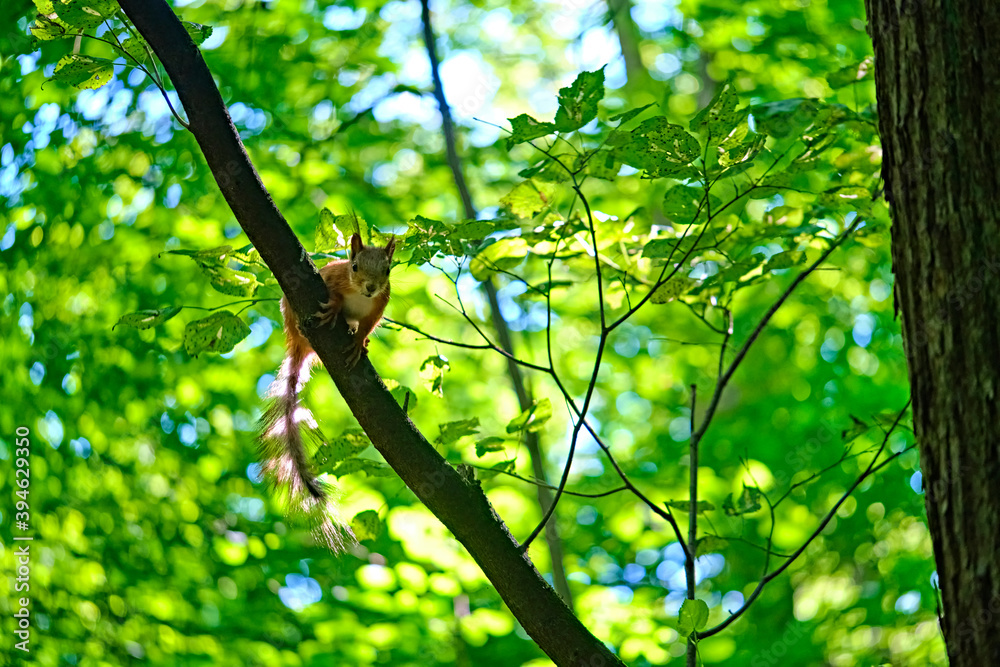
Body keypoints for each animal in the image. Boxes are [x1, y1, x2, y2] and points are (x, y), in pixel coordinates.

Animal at [258, 232, 395, 550]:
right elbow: (334, 296)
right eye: (354, 266)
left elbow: (368, 325)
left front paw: (359, 342)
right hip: (292, 314)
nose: (370, 288)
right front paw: (334, 308)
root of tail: (299, 346)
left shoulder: (379, 305)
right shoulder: (333, 279)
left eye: (387, 270)